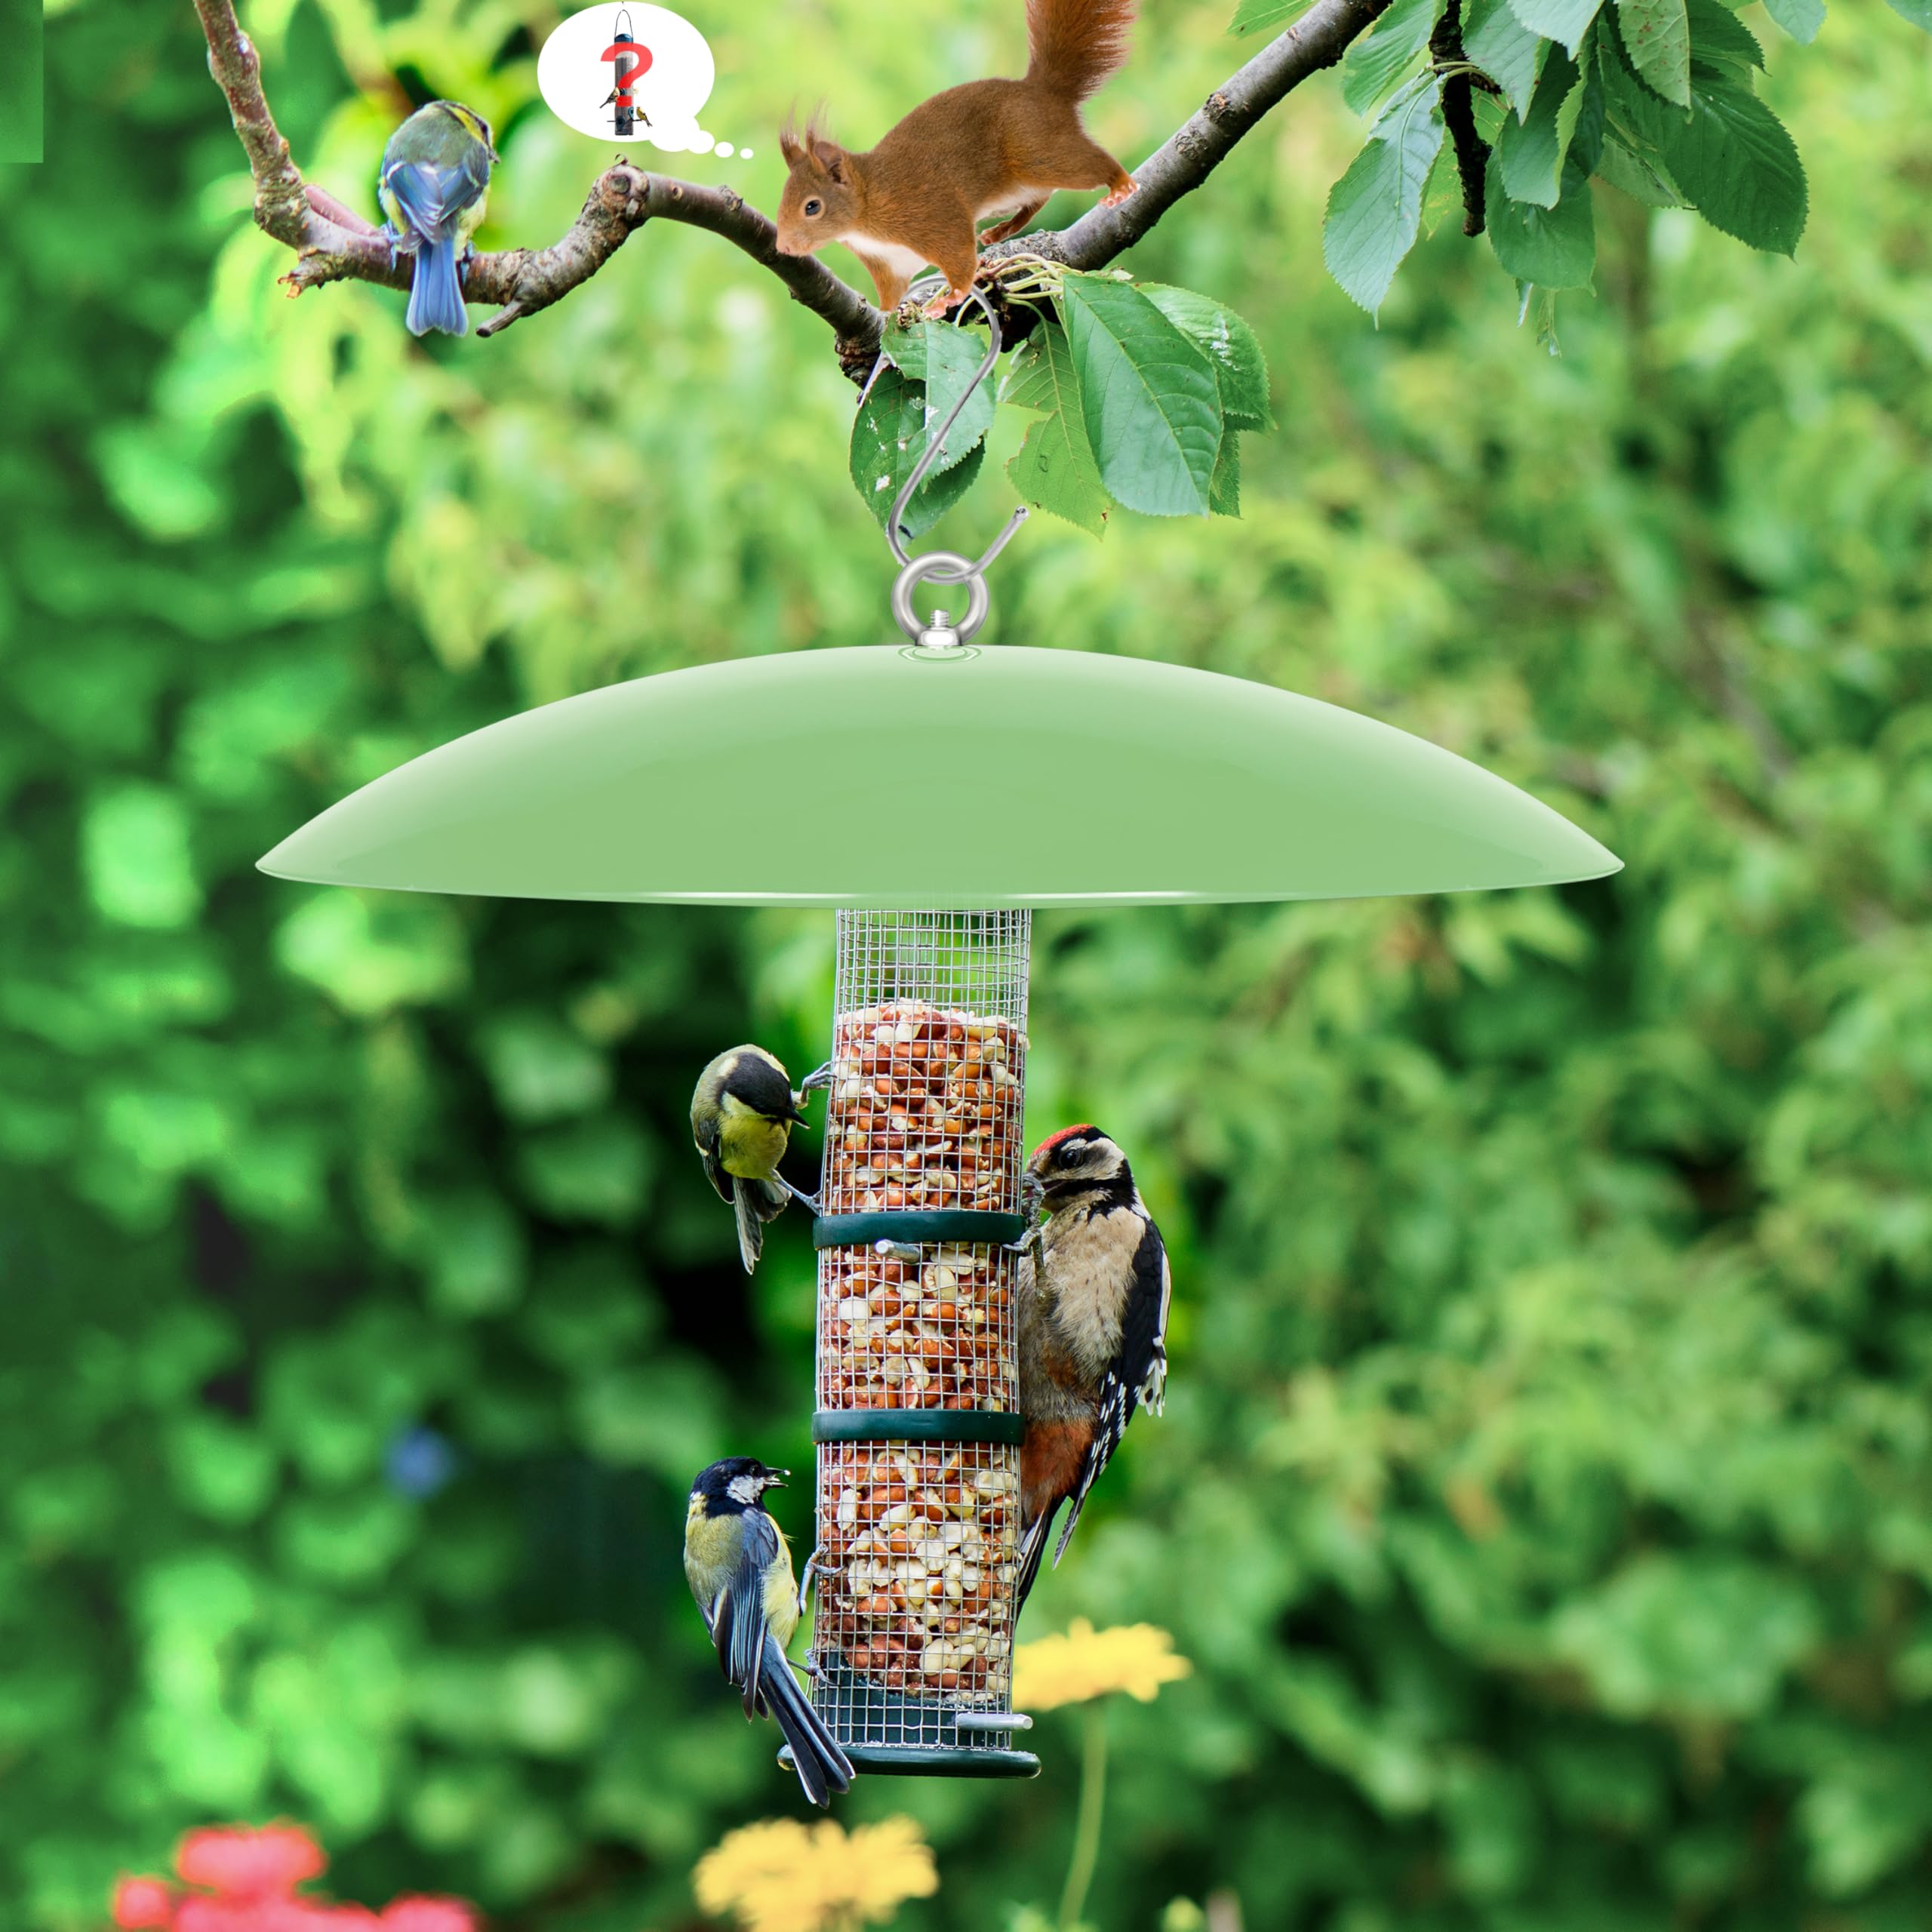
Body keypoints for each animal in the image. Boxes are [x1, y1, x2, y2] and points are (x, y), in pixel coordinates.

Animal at [774, 0, 1137, 318]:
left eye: (812, 207)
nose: (783, 248)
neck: (867, 203)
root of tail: (1043, 91)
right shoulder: (889, 261)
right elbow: (893, 291)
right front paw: (888, 312)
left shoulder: (933, 214)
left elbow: (959, 258)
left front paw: (950, 298)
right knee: (1039, 199)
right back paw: (1001, 231)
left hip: (1040, 154)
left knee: (1086, 165)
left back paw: (1120, 184)